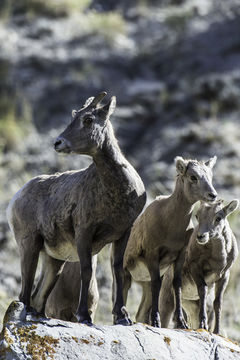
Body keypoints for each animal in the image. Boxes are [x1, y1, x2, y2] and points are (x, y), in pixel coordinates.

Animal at [7, 91, 146, 324]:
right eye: (74, 115)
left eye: (88, 119)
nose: (58, 142)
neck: (116, 192)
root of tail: (16, 198)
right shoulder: (84, 233)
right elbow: (86, 271)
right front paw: (84, 316)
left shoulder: (123, 233)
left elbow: (117, 270)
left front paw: (122, 316)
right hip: (29, 245)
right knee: (24, 293)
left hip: (54, 260)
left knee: (38, 296)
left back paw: (40, 316)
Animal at [124, 156, 218, 328]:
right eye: (193, 177)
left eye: (210, 175)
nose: (212, 195)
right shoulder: (153, 254)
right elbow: (157, 284)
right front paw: (156, 321)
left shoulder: (179, 256)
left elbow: (177, 285)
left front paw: (181, 322)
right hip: (125, 272)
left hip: (143, 283)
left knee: (140, 313)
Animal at [159, 198, 238, 334]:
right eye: (197, 216)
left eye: (218, 218)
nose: (201, 236)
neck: (218, 259)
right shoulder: (196, 268)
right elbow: (203, 291)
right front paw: (203, 325)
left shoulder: (224, 276)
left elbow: (218, 302)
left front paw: (217, 331)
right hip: (167, 298)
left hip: (190, 305)